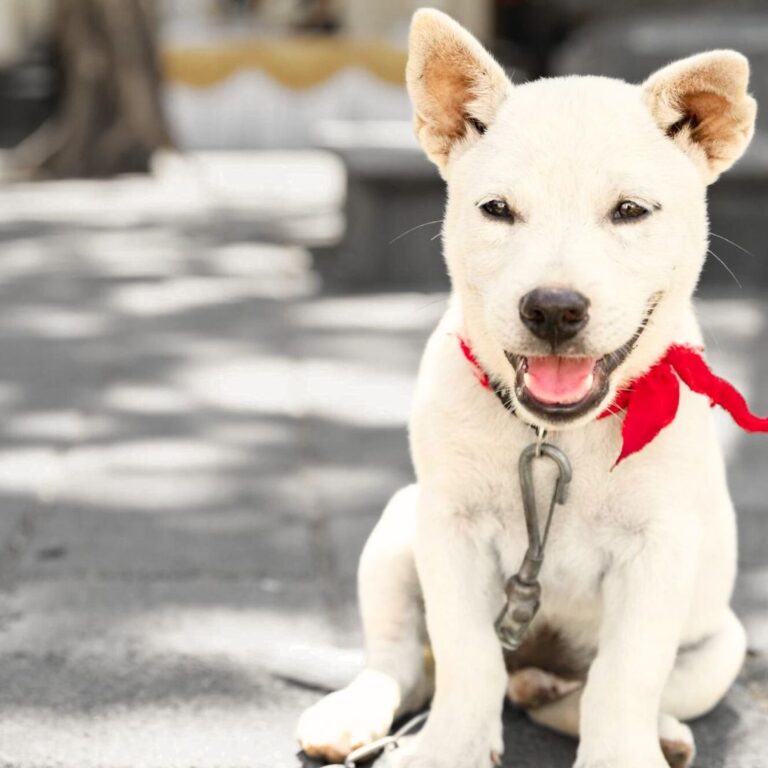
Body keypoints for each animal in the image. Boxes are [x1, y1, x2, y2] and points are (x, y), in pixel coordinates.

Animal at [298, 7, 756, 768]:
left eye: (630, 211)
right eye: (497, 209)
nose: (554, 309)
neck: (554, 435)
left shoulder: (659, 549)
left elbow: (624, 678)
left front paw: (620, 755)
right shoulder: (448, 529)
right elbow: (466, 655)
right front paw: (451, 746)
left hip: (723, 642)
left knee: (587, 692)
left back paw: (631, 720)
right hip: (396, 530)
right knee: (403, 661)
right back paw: (357, 713)